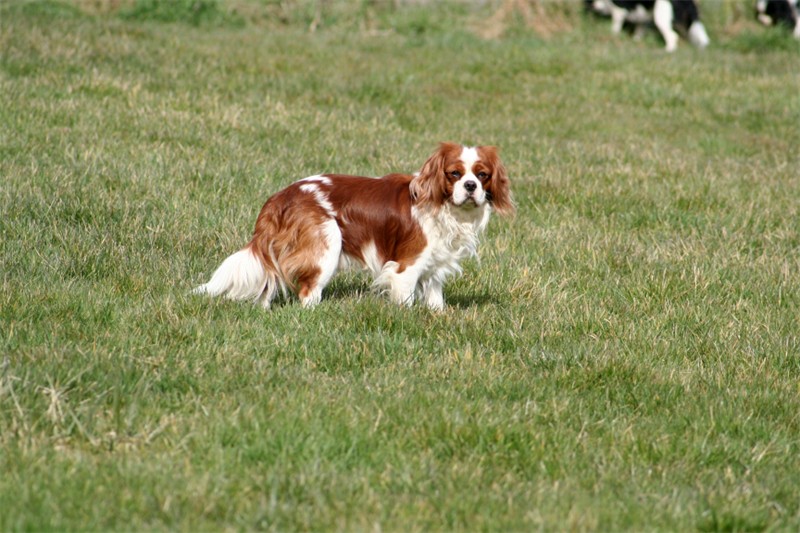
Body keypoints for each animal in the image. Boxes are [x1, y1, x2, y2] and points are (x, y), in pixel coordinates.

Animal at [194, 143, 512, 310]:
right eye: (454, 174)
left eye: (482, 175)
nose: (470, 186)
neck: (445, 208)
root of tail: (280, 197)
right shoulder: (407, 265)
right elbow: (405, 296)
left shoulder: (435, 264)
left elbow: (435, 297)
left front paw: (437, 315)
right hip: (327, 243)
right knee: (308, 292)